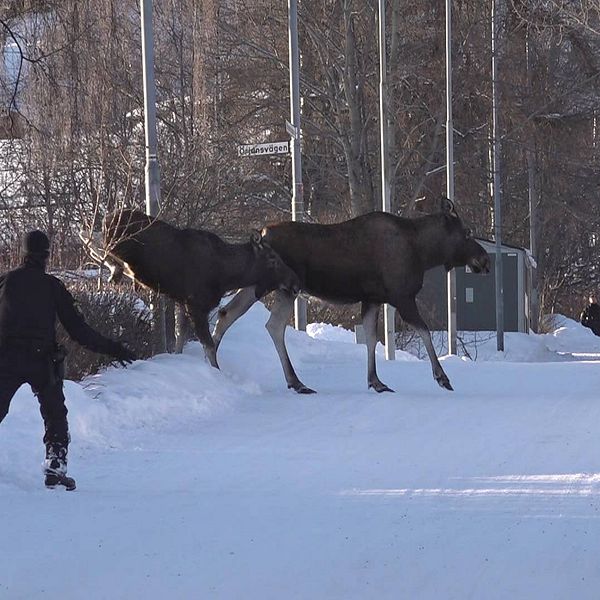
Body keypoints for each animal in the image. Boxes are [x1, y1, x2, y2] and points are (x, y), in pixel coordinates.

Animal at [100, 211, 302, 370]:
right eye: (272, 258)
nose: (295, 283)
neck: (227, 276)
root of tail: (106, 218)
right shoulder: (196, 305)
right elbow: (210, 347)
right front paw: (217, 372)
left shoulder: (182, 302)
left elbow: (180, 337)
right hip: (115, 246)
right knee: (102, 252)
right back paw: (114, 270)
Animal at [213, 197, 490, 394]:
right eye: (467, 232)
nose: (484, 259)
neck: (424, 253)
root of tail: (261, 233)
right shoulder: (402, 297)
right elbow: (424, 331)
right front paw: (442, 377)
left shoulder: (372, 299)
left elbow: (370, 338)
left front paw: (376, 381)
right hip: (280, 286)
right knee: (270, 324)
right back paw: (296, 382)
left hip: (269, 286)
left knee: (232, 314)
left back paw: (217, 363)